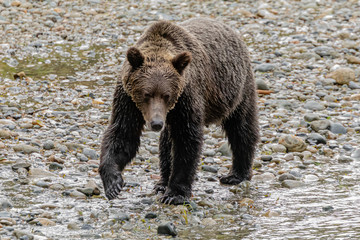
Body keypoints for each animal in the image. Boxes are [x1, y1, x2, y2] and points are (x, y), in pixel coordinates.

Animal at [99, 18, 258, 204]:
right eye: (147, 94)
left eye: (166, 95)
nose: (156, 123)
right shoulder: (127, 99)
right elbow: (123, 134)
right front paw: (113, 184)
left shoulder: (187, 97)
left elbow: (186, 139)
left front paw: (175, 194)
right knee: (166, 143)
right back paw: (161, 183)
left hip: (238, 89)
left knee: (241, 127)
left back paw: (236, 174)